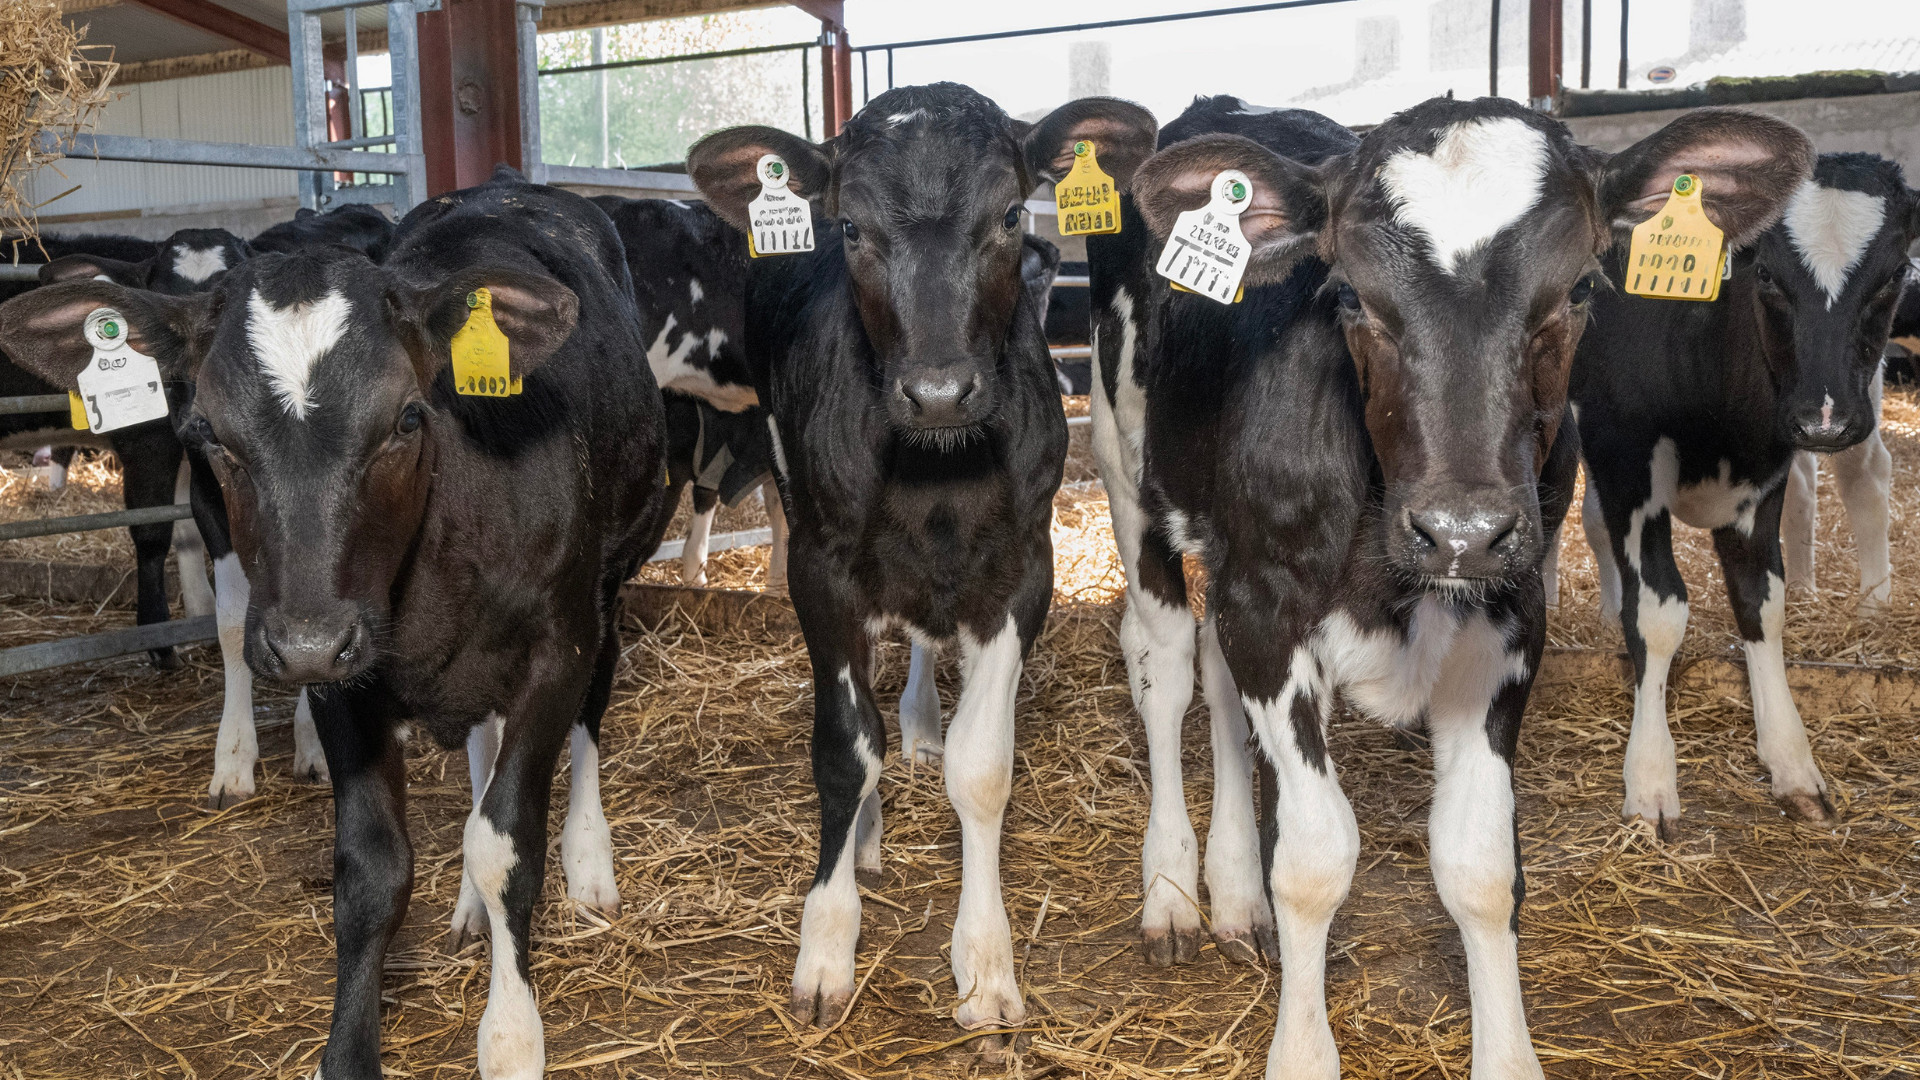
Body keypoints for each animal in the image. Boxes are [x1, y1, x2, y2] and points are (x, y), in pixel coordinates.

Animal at [0, 166, 667, 1080]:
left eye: (409, 417)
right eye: (208, 430)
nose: (310, 641)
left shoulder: (553, 650)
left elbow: (507, 844)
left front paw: (510, 1035)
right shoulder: (346, 682)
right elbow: (372, 870)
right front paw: (350, 1050)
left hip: (609, 582)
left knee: (590, 719)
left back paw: (590, 862)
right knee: (477, 747)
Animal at [686, 83, 1158, 1035]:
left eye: (1010, 213)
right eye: (851, 228)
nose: (939, 391)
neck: (936, 468)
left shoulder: (1024, 569)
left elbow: (983, 767)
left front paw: (985, 959)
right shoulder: (820, 569)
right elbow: (842, 748)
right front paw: (827, 941)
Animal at [1081, 92, 1815, 1077]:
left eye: (1581, 288)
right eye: (1349, 294)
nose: (1461, 531)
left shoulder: (1509, 625)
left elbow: (1479, 864)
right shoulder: (1269, 605)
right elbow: (1314, 856)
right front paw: (1302, 1048)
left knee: (1216, 676)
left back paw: (1234, 891)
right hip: (1128, 471)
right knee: (1163, 661)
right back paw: (1173, 890)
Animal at [1574, 150, 1917, 837]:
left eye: (1895, 273)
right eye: (1766, 275)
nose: (1823, 419)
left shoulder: (1763, 479)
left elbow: (1762, 601)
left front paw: (1792, 763)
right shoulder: (1625, 462)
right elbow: (1658, 613)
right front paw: (1650, 778)